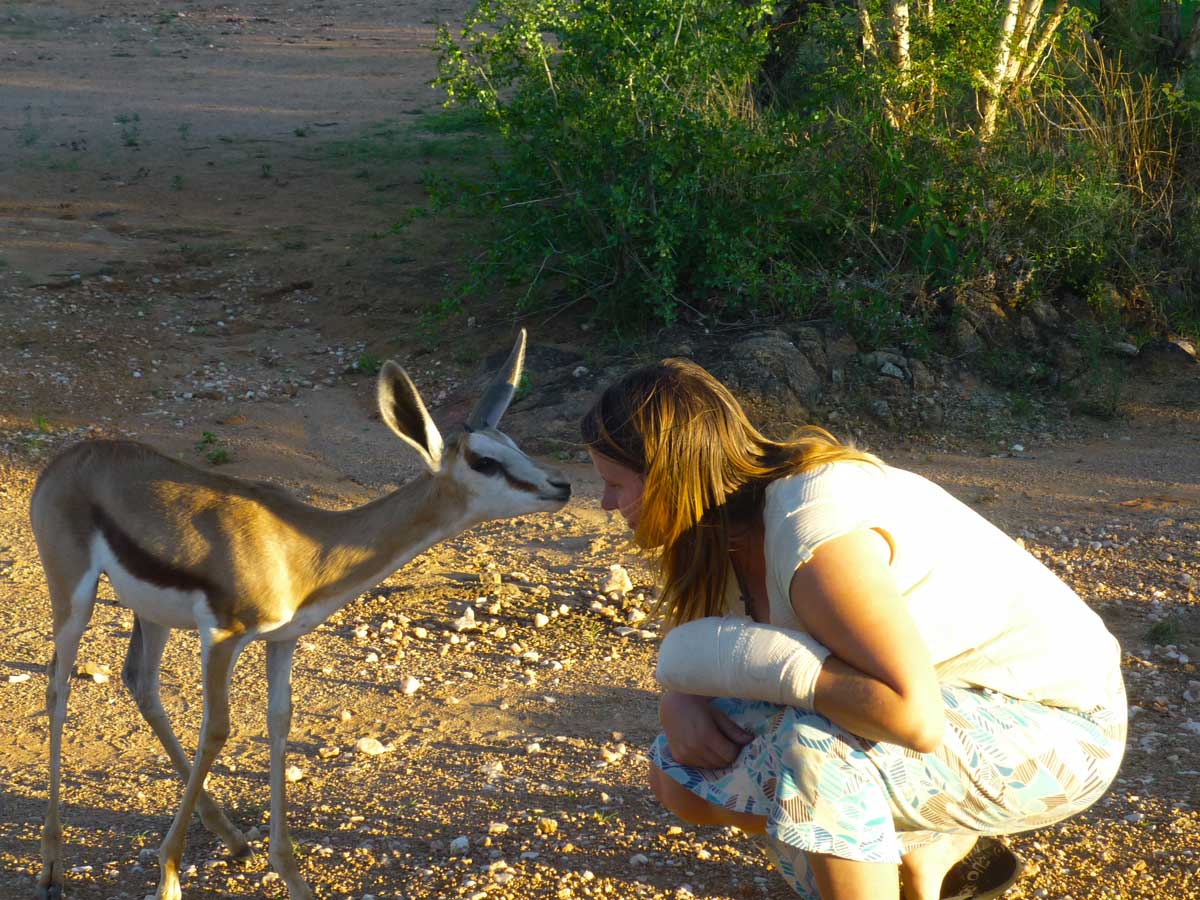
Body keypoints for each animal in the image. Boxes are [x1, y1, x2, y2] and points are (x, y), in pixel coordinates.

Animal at [28, 333, 568, 900]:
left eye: (514, 442)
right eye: (484, 460)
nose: (562, 486)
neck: (302, 548)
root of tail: (70, 456)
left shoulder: (281, 640)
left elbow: (279, 723)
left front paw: (289, 873)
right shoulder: (222, 636)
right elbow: (217, 729)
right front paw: (169, 873)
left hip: (152, 616)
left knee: (141, 682)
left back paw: (230, 837)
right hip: (73, 598)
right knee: (58, 690)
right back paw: (51, 865)